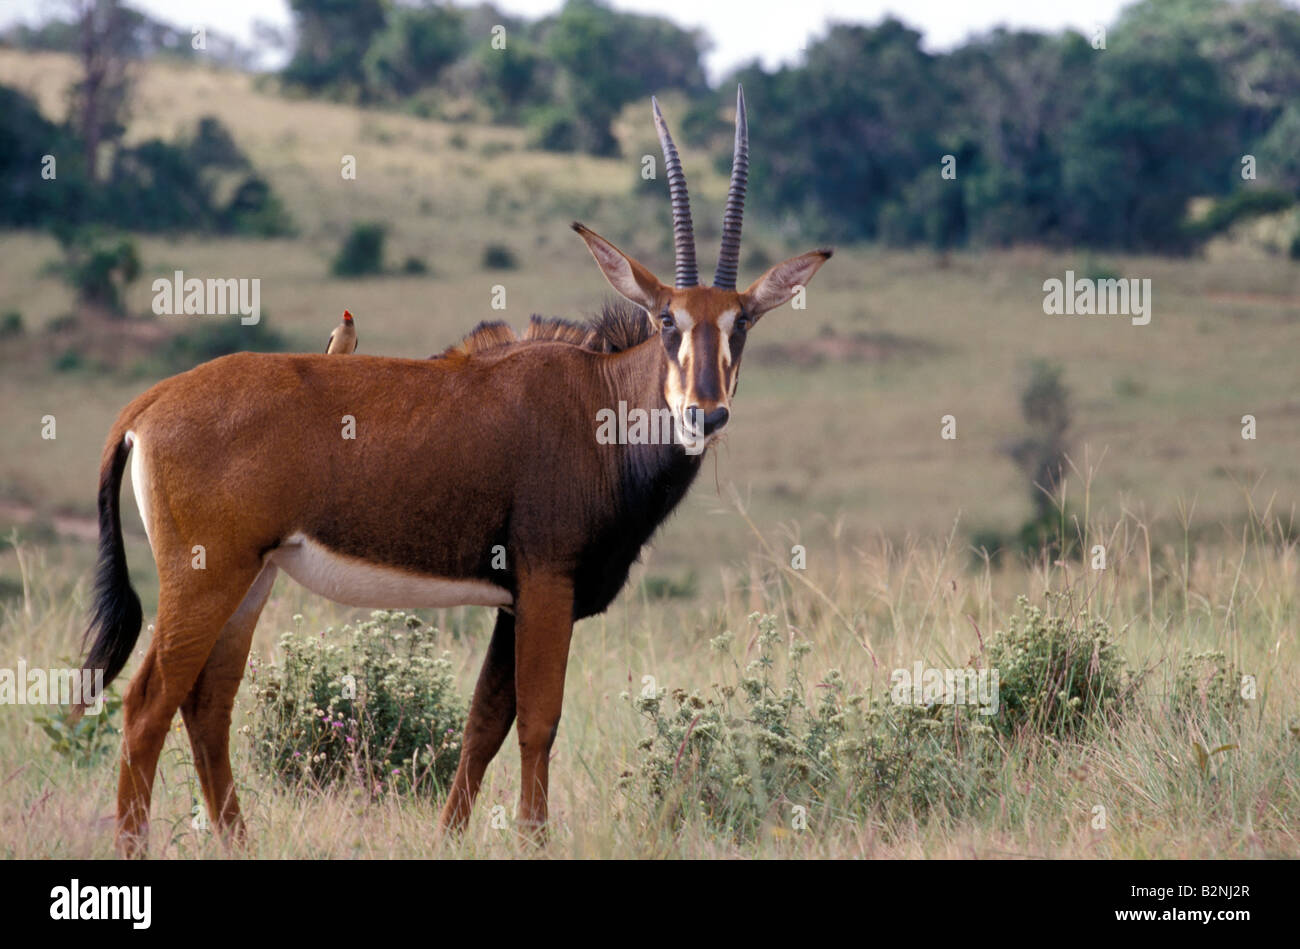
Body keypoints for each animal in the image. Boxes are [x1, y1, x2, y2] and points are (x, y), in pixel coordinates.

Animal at [81, 87, 832, 852]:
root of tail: (148, 405)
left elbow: (484, 724)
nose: (705, 414)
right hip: (206, 576)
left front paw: (452, 835)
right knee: (147, 705)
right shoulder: (547, 582)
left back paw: (241, 843)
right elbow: (538, 721)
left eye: (741, 323)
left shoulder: (513, 598)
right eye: (667, 320)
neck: (602, 401)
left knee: (207, 705)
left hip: (250, 578)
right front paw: (534, 839)